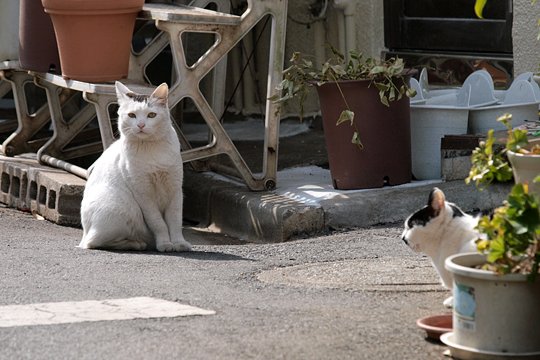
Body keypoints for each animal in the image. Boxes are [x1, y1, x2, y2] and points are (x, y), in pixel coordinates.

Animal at [78, 81, 192, 253]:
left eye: (151, 115)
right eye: (132, 115)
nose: (141, 125)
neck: (150, 149)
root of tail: (84, 232)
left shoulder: (175, 189)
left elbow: (175, 220)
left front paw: (179, 243)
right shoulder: (144, 194)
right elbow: (158, 223)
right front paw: (165, 243)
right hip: (120, 208)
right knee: (93, 242)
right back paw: (136, 244)